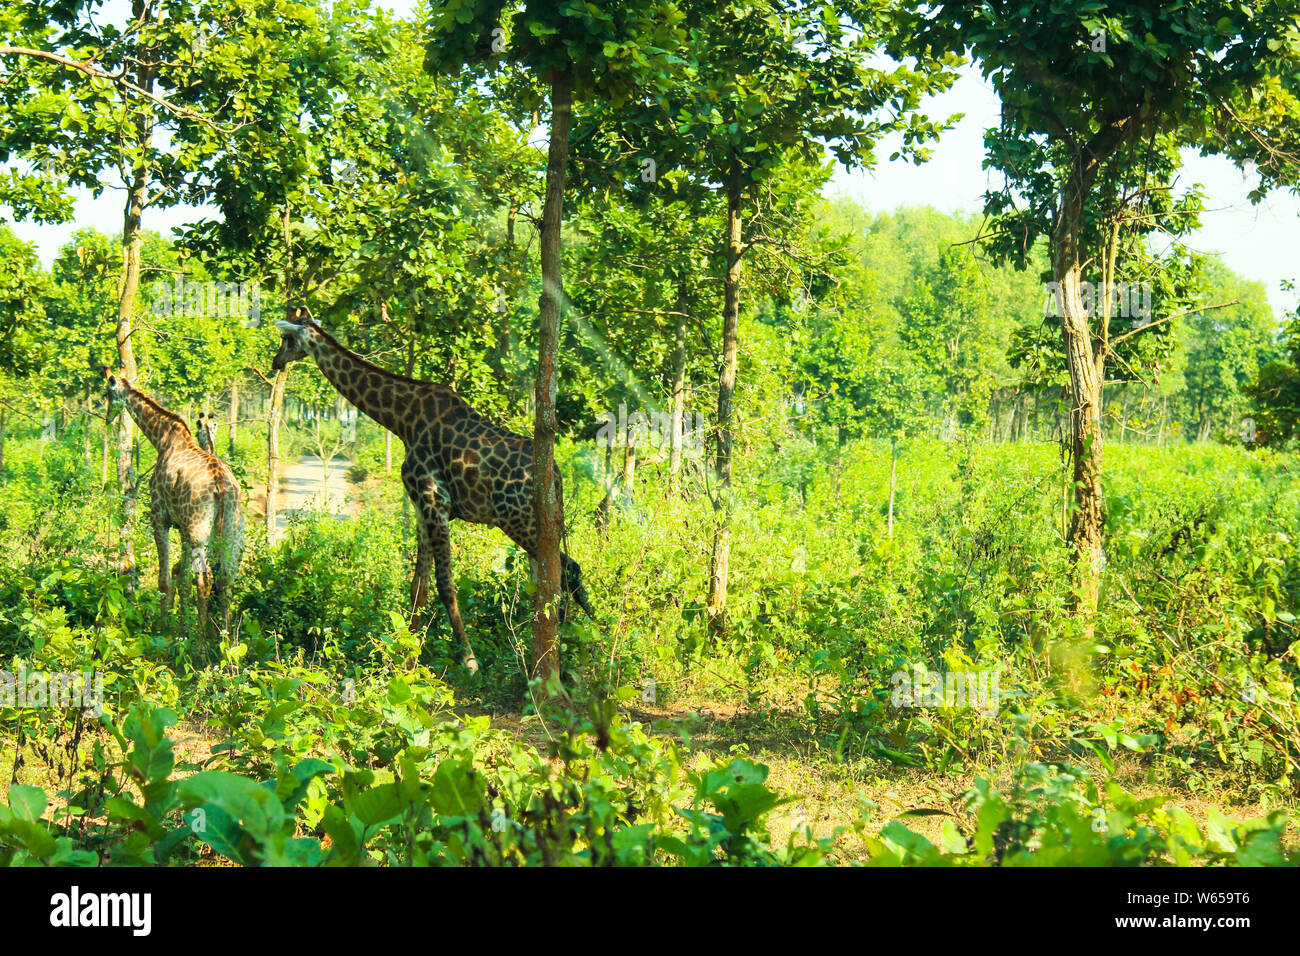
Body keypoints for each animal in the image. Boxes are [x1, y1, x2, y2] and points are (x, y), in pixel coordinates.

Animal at [105, 369, 244, 655]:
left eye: (107, 393)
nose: (107, 417)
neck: (162, 439)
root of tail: (222, 484)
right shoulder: (182, 528)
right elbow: (180, 577)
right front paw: (180, 631)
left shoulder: (160, 517)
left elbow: (166, 580)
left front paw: (164, 631)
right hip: (229, 534)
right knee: (225, 580)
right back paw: (226, 645)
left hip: (199, 531)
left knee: (204, 579)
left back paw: (201, 647)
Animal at [275, 310, 598, 671]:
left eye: (286, 339)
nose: (276, 362)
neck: (401, 420)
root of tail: (555, 473)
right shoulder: (420, 506)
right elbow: (419, 586)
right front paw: (407, 658)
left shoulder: (434, 501)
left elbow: (445, 584)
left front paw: (468, 659)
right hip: (537, 521)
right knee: (563, 572)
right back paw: (576, 646)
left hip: (518, 520)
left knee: (567, 569)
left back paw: (575, 648)